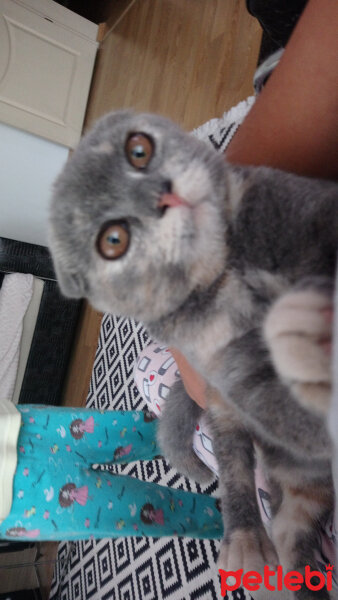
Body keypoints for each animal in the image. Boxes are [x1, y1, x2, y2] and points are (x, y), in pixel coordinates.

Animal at [48, 110, 336, 596]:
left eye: (139, 150)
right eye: (113, 240)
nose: (162, 194)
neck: (228, 267)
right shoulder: (227, 370)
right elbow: (287, 411)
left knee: (293, 522)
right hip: (233, 423)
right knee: (249, 483)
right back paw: (252, 546)